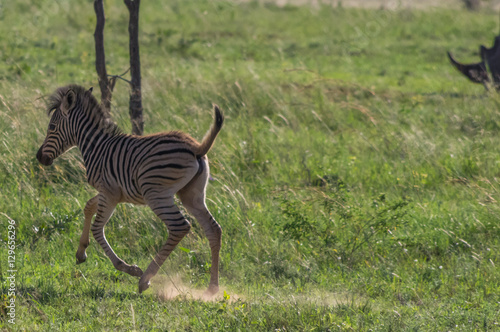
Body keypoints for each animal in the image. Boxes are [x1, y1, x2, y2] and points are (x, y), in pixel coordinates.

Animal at [35, 84, 223, 294]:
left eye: (51, 128)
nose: (39, 157)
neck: (96, 146)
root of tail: (197, 148)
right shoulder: (111, 192)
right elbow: (88, 207)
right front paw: (81, 252)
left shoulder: (109, 193)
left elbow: (97, 228)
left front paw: (127, 268)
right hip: (192, 195)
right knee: (213, 229)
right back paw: (212, 288)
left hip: (156, 194)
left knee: (180, 227)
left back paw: (145, 279)